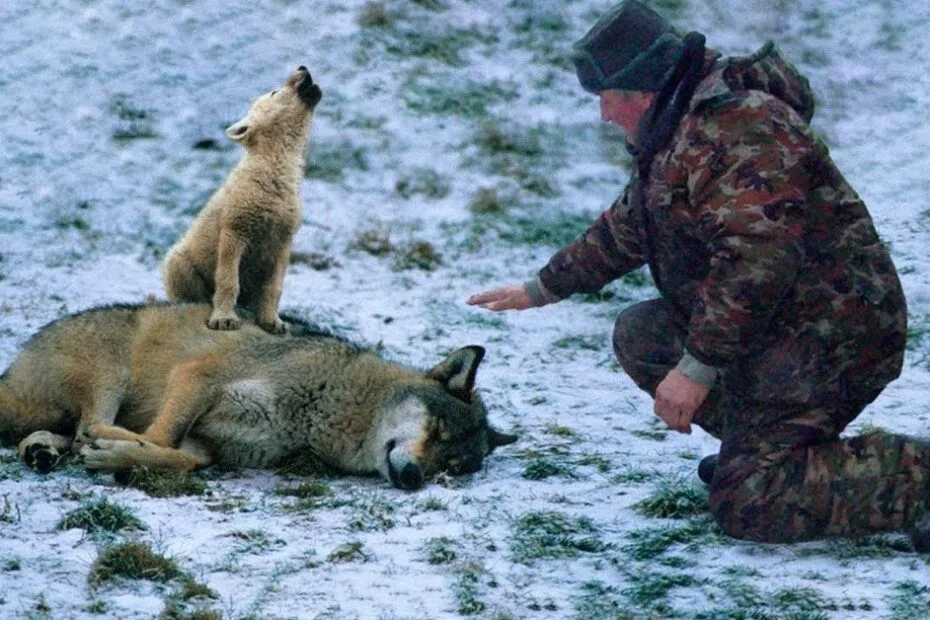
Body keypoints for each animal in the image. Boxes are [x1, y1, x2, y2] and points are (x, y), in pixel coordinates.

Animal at [0, 303, 516, 489]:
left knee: (63, 435)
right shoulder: (199, 376)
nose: (412, 479)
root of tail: (14, 366)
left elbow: (181, 458)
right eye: (436, 430)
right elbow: (162, 438)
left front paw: (121, 458)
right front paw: (117, 450)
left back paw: (44, 451)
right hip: (111, 374)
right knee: (85, 424)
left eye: (452, 468)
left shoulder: (210, 445)